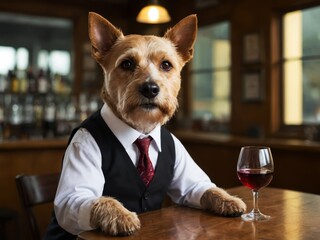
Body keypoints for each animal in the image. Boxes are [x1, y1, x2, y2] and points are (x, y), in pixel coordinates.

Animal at [85, 12, 245, 235]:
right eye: (127, 64)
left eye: (166, 65)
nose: (150, 89)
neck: (141, 130)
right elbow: (99, 200)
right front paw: (121, 215)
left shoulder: (190, 178)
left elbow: (207, 188)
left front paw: (229, 199)